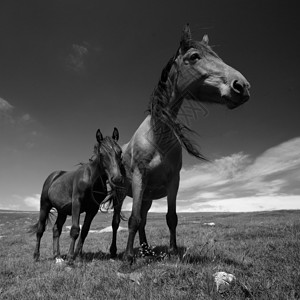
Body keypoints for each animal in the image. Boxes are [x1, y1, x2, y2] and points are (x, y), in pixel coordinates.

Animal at [29, 128, 123, 262]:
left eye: (120, 152)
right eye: (101, 153)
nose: (117, 179)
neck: (91, 180)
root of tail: (53, 176)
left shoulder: (92, 209)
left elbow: (84, 231)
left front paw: (77, 256)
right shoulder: (76, 203)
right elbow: (75, 230)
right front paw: (70, 256)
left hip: (62, 211)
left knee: (56, 230)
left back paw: (57, 256)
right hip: (44, 206)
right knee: (40, 230)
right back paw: (36, 256)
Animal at [115, 24, 251, 270]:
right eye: (194, 57)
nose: (241, 86)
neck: (157, 135)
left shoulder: (173, 181)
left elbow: (171, 218)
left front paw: (173, 252)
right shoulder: (139, 177)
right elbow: (132, 219)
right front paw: (128, 258)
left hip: (147, 198)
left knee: (144, 220)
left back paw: (146, 251)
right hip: (122, 194)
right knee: (118, 221)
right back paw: (117, 252)